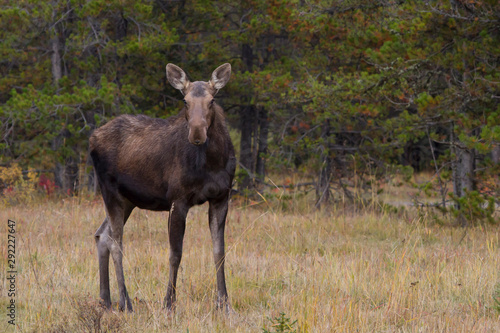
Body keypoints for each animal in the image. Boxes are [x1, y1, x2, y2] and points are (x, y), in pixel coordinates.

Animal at [89, 62, 234, 312]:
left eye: (212, 100)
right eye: (185, 100)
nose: (197, 132)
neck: (213, 162)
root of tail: (92, 138)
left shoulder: (221, 197)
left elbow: (219, 251)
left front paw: (224, 303)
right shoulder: (178, 199)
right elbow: (175, 254)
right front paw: (169, 303)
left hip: (128, 200)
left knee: (102, 235)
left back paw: (105, 299)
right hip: (110, 192)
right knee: (116, 243)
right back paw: (125, 301)